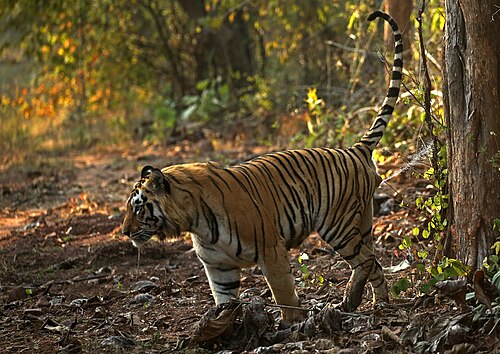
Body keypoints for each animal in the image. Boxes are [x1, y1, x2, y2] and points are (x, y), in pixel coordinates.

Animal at [123, 10, 404, 320]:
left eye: (138, 207)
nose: (124, 232)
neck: (194, 221)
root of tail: (355, 149)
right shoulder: (219, 267)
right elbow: (224, 299)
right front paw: (221, 325)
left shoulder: (271, 250)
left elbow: (283, 293)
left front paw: (292, 324)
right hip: (363, 221)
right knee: (375, 262)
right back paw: (380, 304)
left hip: (337, 224)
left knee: (365, 260)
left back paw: (349, 302)